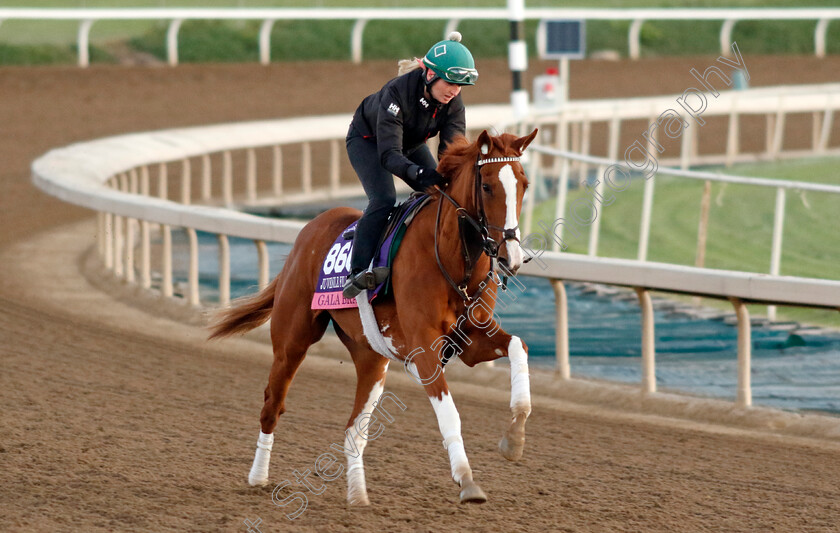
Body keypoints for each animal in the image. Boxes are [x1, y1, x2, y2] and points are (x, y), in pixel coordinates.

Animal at [210, 127, 540, 504]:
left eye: (524, 184)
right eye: (486, 186)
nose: (511, 257)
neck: (454, 261)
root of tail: (306, 232)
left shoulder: (469, 338)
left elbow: (518, 346)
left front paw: (514, 439)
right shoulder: (424, 349)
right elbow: (450, 414)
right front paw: (467, 480)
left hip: (371, 358)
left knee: (353, 429)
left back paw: (358, 496)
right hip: (292, 342)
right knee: (272, 404)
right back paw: (258, 477)